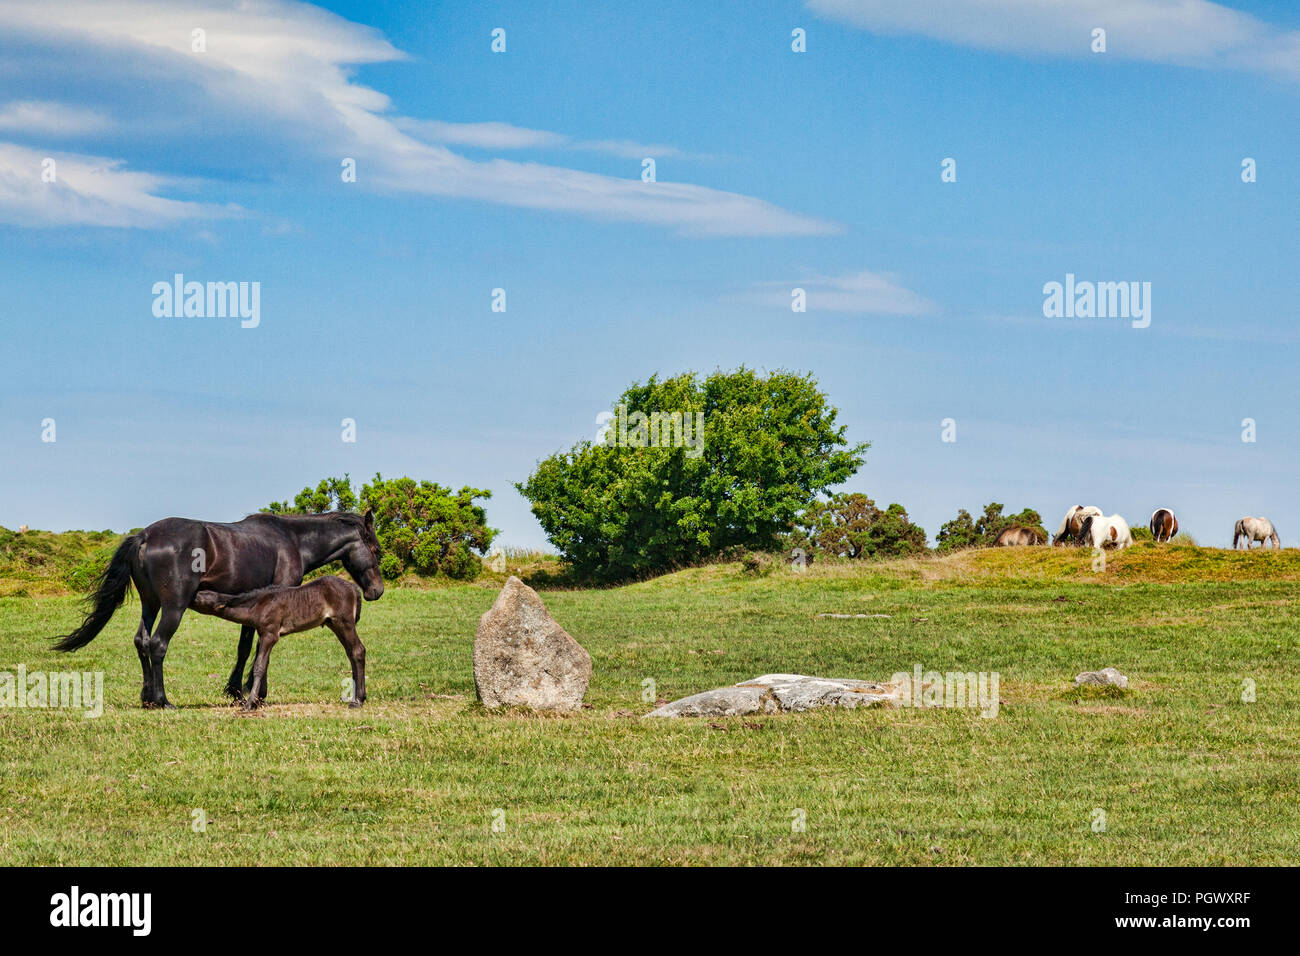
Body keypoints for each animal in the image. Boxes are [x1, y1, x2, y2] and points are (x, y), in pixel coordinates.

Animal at [190, 576, 366, 710]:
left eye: (199, 596)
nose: (189, 597)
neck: (258, 606)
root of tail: (354, 588)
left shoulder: (270, 634)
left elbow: (259, 667)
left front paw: (249, 704)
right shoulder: (263, 635)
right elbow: (263, 663)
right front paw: (257, 702)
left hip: (344, 622)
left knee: (358, 650)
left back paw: (357, 701)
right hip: (334, 624)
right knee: (351, 653)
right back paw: (359, 697)